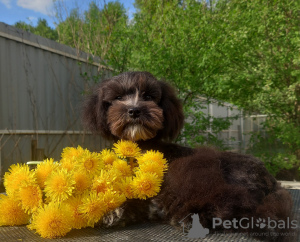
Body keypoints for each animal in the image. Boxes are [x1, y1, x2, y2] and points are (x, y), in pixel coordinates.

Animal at [83, 71, 294, 241]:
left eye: (149, 96)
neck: (140, 146)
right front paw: (115, 210)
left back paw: (192, 217)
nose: (134, 110)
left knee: (233, 203)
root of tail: (270, 180)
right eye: (118, 97)